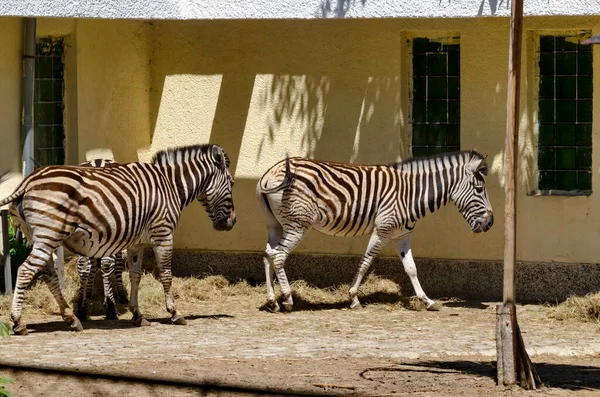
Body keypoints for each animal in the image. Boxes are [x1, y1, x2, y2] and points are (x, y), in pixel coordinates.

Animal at [0, 143, 237, 334]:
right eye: (232, 183)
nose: (232, 222)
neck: (170, 185)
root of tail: (28, 181)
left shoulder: (137, 242)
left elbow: (135, 275)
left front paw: (137, 315)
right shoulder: (163, 233)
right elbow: (166, 274)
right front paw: (175, 313)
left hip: (40, 237)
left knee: (49, 275)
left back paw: (72, 318)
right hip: (49, 235)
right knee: (26, 271)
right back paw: (19, 322)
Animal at [255, 150, 494, 310]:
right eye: (479, 189)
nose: (490, 223)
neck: (411, 193)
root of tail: (270, 172)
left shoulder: (402, 235)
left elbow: (411, 268)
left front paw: (427, 300)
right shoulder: (383, 229)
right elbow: (366, 262)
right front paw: (353, 298)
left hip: (275, 224)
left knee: (267, 254)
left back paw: (272, 301)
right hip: (297, 224)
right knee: (278, 256)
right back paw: (287, 299)